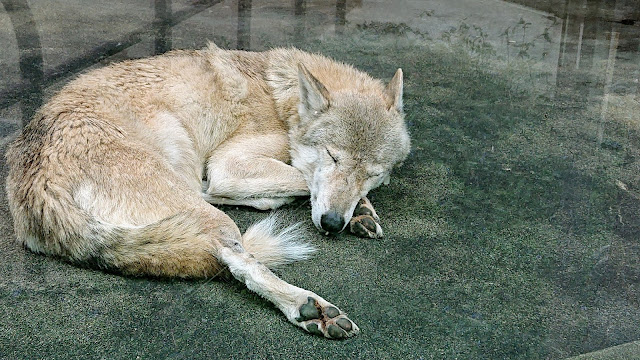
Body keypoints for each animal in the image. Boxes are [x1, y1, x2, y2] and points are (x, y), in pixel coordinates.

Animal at [5, 43, 410, 338]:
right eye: (332, 156)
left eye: (372, 173)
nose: (331, 224)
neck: (283, 99)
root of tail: (37, 189)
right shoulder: (228, 165)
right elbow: (302, 176)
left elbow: (323, 186)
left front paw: (360, 211)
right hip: (205, 206)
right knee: (237, 259)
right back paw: (310, 308)